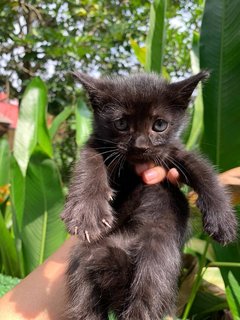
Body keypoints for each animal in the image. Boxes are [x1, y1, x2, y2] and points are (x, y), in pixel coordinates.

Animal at [61, 72, 237, 320]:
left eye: (160, 125)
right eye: (121, 124)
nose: (140, 146)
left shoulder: (174, 151)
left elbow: (203, 172)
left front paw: (223, 220)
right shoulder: (96, 144)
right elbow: (90, 162)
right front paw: (87, 212)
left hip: (158, 252)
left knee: (147, 292)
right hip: (87, 255)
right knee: (85, 298)